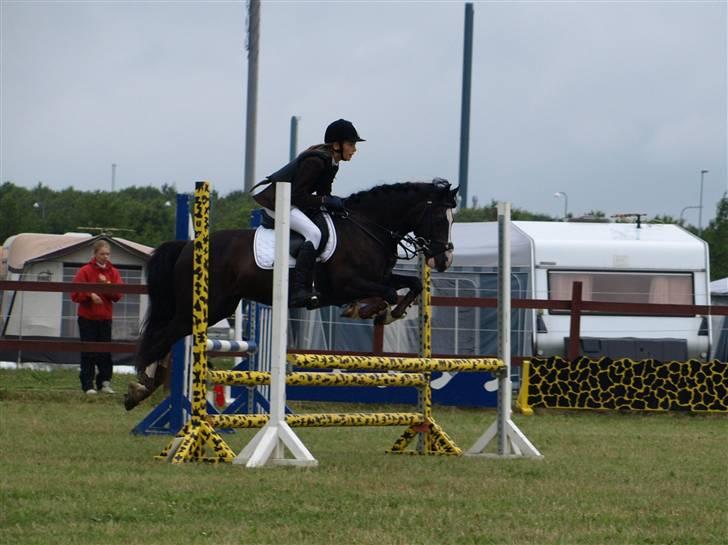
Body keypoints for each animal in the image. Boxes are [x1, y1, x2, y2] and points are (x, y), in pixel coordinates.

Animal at [124, 180, 456, 408]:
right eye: (441, 218)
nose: (444, 260)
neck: (367, 228)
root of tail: (190, 245)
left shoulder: (378, 277)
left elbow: (411, 284)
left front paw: (391, 312)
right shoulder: (348, 284)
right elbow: (386, 292)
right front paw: (371, 310)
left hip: (219, 306)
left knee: (168, 335)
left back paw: (145, 385)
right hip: (204, 305)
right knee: (163, 335)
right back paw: (141, 386)